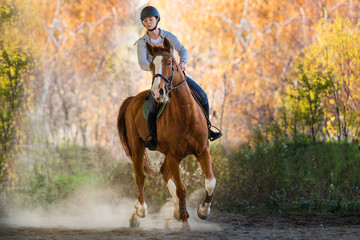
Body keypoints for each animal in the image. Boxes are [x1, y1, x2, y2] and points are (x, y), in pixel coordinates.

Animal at [116, 38, 215, 231]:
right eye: (152, 66)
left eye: (170, 63)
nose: (158, 92)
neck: (186, 114)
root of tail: (132, 99)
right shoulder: (174, 156)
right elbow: (181, 189)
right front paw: (185, 220)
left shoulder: (202, 150)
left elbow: (210, 182)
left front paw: (203, 211)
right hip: (138, 148)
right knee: (141, 177)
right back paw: (140, 211)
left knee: (163, 172)